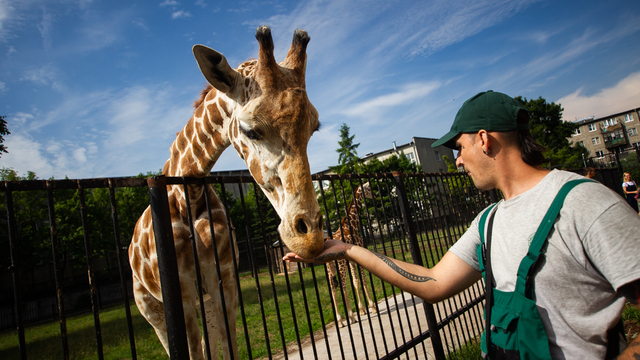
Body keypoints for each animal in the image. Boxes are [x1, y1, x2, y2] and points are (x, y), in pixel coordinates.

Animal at [127, 26, 324, 360]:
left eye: (314, 128)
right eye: (250, 130)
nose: (309, 239)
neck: (189, 196)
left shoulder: (225, 282)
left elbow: (227, 347)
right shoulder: (180, 293)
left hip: (202, 301)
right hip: (150, 307)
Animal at [328, 183, 378, 326]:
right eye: (368, 188)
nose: (375, 196)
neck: (351, 224)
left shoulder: (351, 261)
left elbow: (356, 281)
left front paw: (362, 310)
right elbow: (363, 280)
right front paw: (372, 307)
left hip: (330, 269)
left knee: (333, 289)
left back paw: (340, 321)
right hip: (340, 265)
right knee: (343, 286)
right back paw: (351, 317)